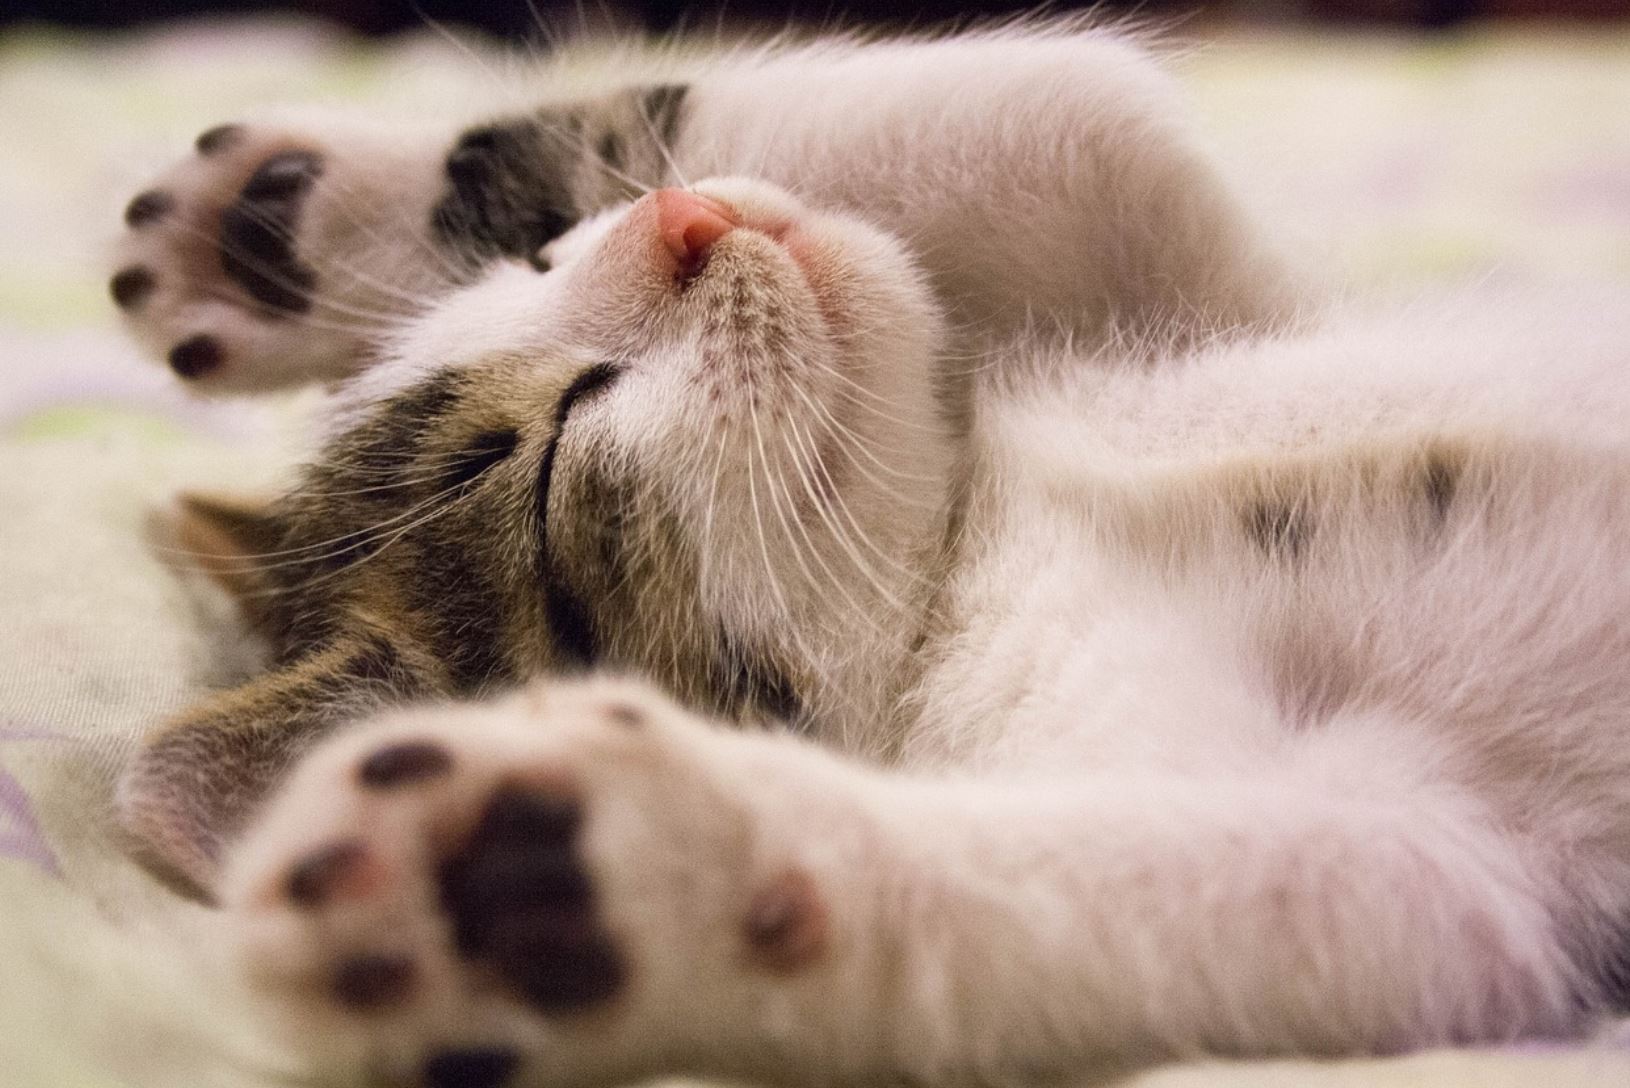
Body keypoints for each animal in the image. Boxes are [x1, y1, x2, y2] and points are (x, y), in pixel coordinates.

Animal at [105, 17, 1630, 1088]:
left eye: (539, 264)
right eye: (536, 464)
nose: (687, 220)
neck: (973, 530)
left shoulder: (1233, 299)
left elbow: (1078, 115)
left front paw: (285, 223)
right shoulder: (1488, 882)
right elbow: (1342, 886)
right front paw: (575, 879)